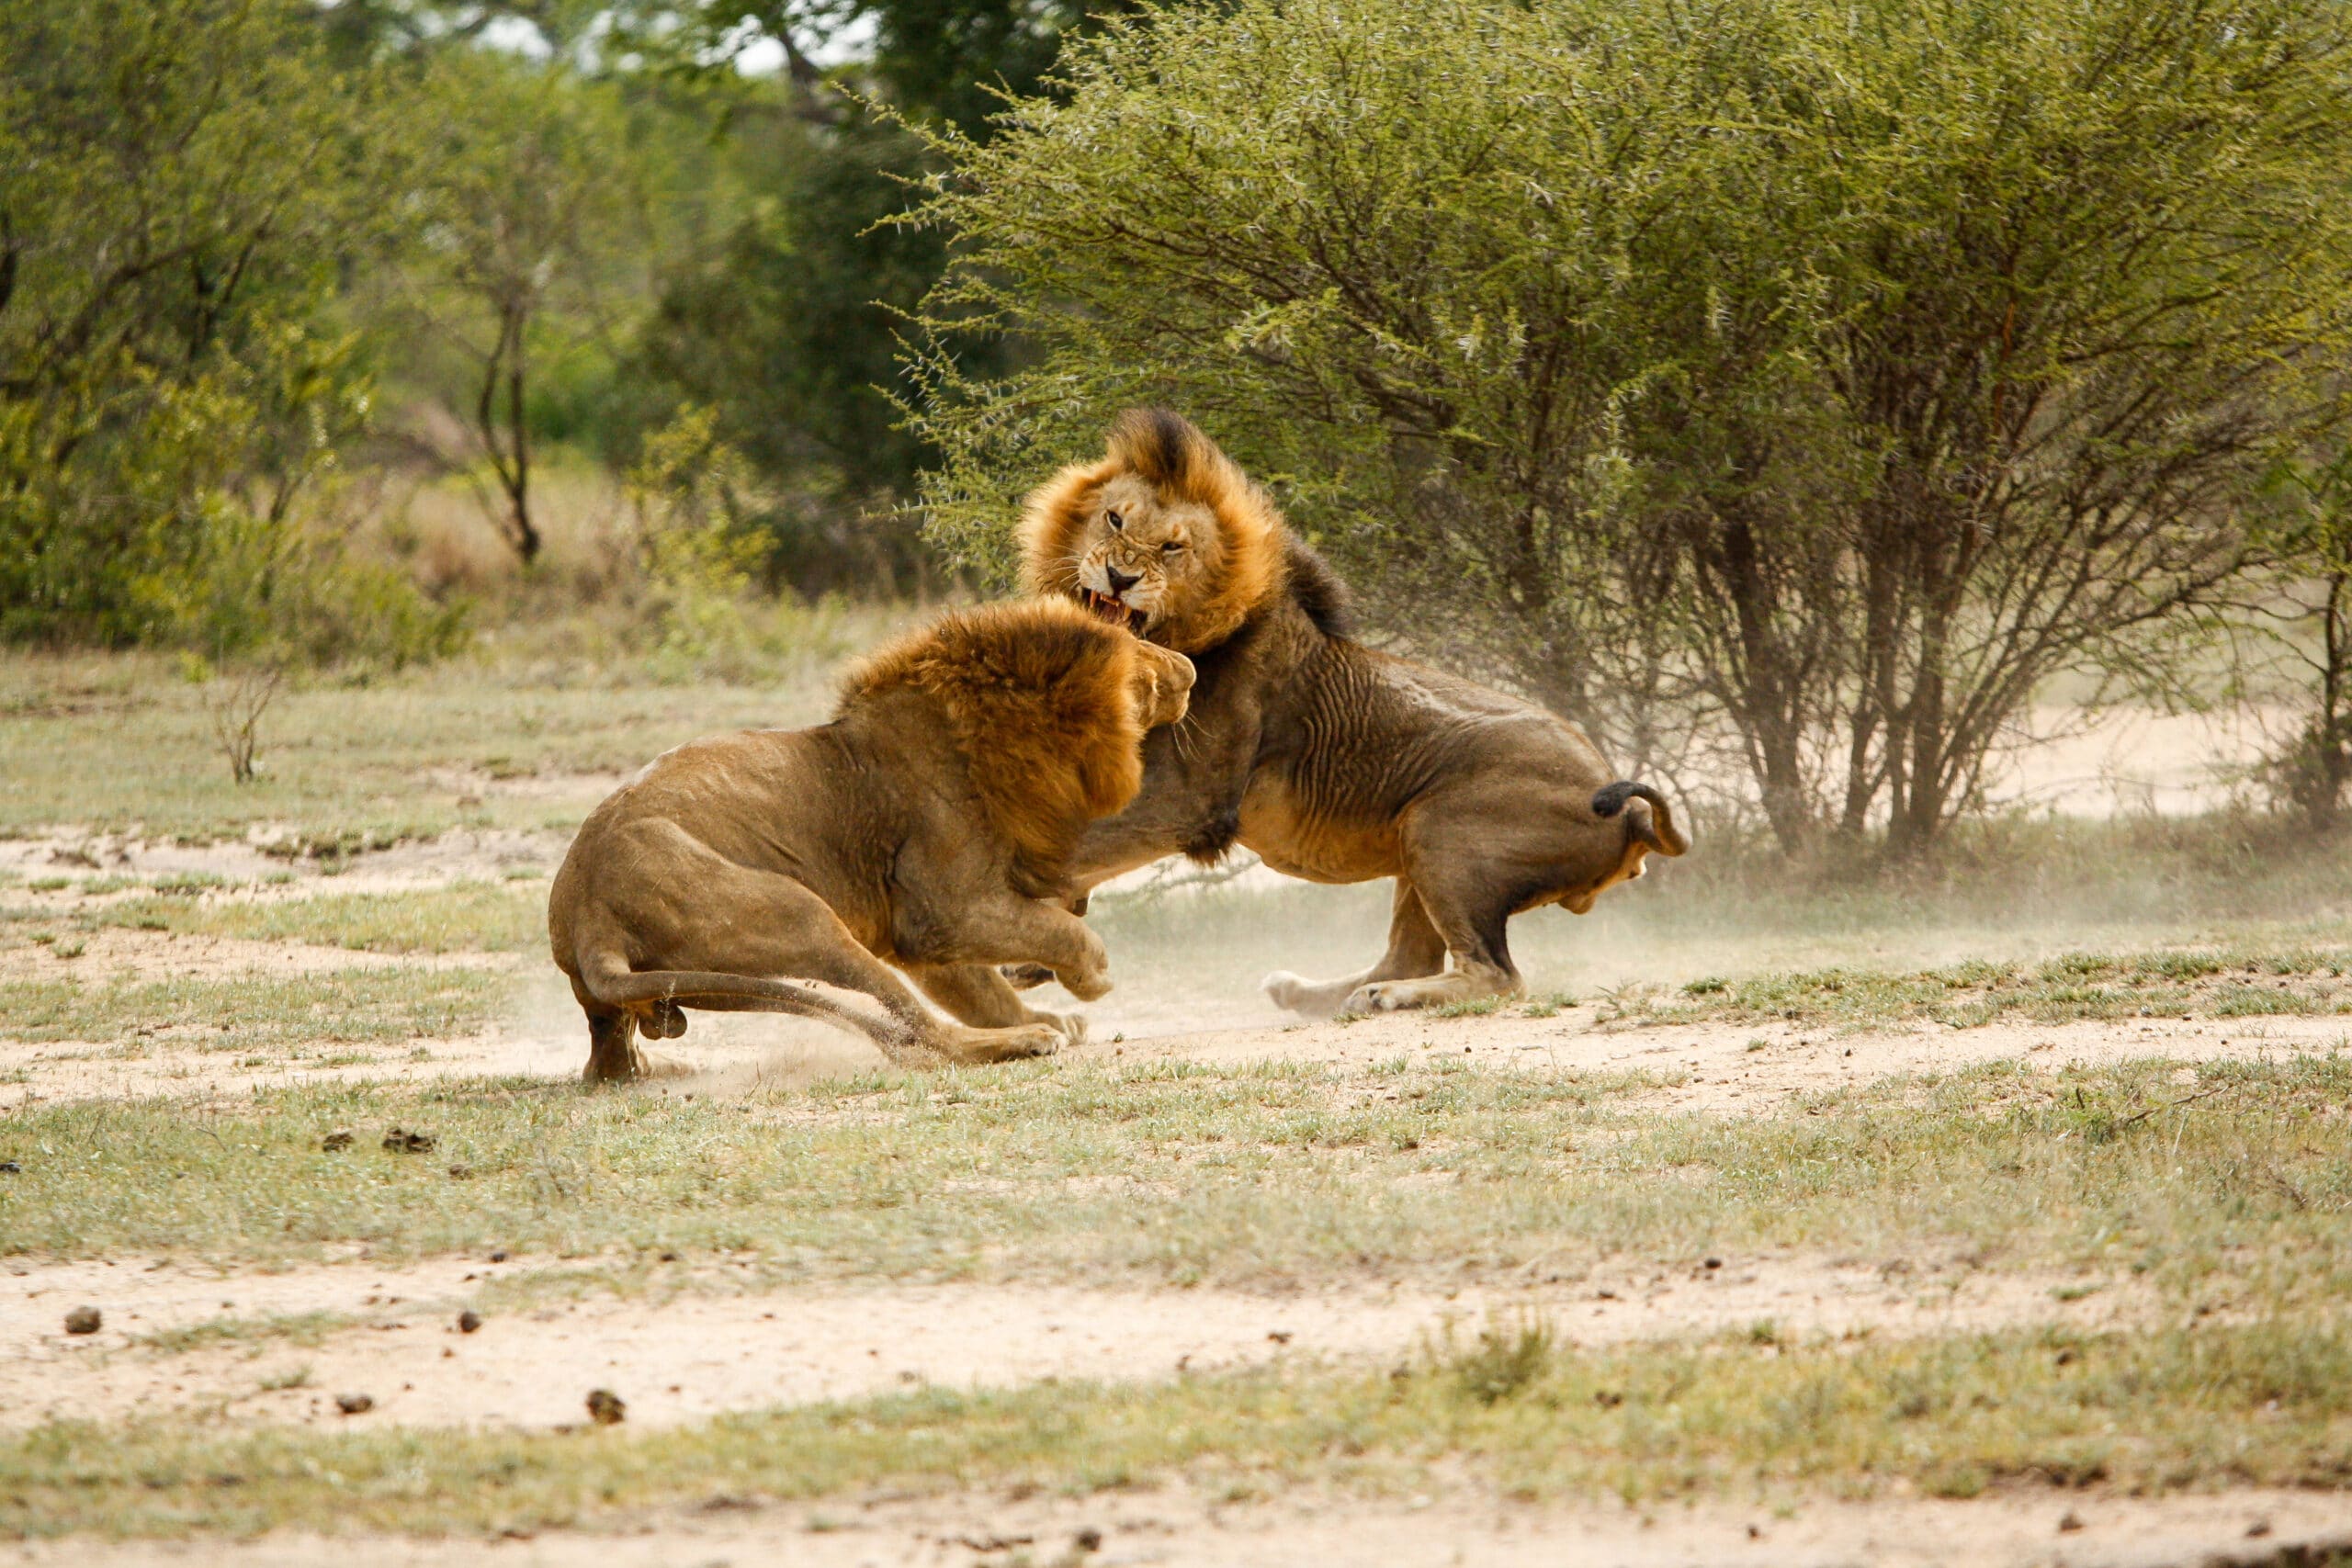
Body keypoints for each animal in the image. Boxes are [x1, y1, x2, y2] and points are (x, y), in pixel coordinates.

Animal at [545, 594, 1194, 1086]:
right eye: (1141, 663)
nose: (1189, 669)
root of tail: (590, 917)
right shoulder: (943, 913)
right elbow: (1061, 931)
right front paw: (1088, 983)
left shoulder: (922, 933)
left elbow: (981, 987)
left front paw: (1047, 1014)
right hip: (797, 917)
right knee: (918, 1039)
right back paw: (1024, 1041)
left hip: (626, 1001)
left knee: (608, 1066)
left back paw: (664, 1067)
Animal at [983, 404, 1683, 1020]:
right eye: (1114, 520)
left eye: (1173, 548)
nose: (1120, 577)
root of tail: (1629, 811)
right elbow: (1080, 848)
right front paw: (1032, 954)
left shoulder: (1192, 801)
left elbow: (1080, 847)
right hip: (1420, 838)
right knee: (1412, 955)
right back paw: (1310, 992)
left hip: (1440, 824)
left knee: (1494, 975)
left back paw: (1383, 999)